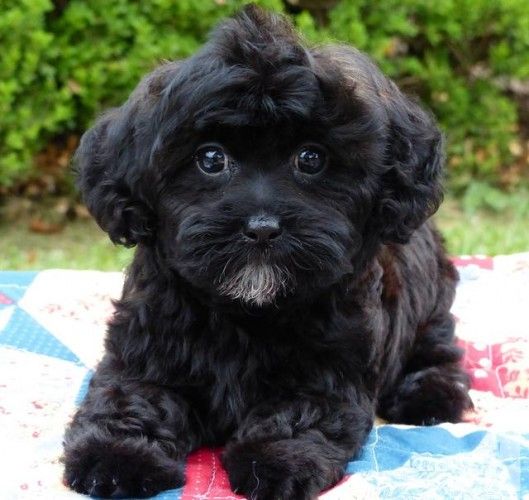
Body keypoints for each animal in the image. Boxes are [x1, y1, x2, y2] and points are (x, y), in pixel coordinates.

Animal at [62, 4, 470, 500]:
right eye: (211, 159)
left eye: (311, 158)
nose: (261, 228)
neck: (246, 312)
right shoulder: (144, 344)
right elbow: (132, 394)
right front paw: (117, 454)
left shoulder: (329, 373)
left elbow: (300, 412)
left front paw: (277, 458)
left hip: (432, 302)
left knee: (437, 347)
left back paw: (431, 396)